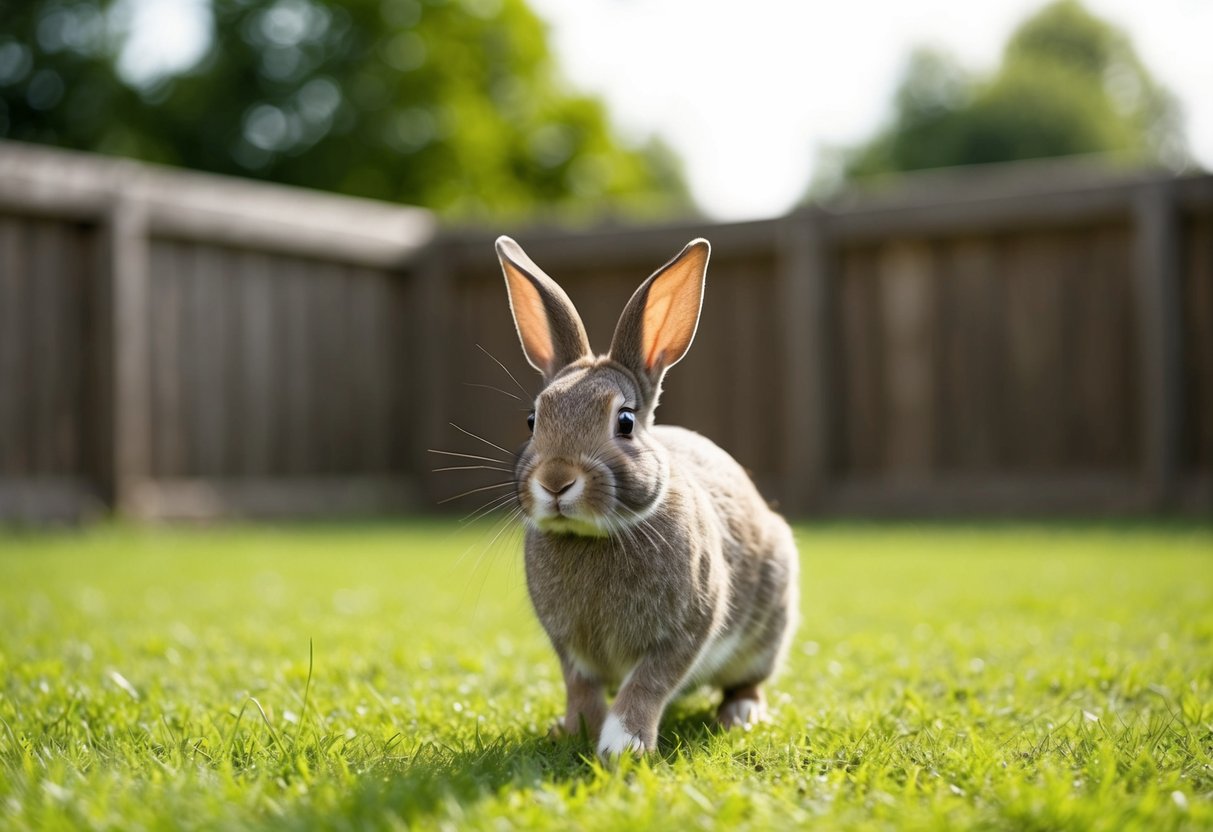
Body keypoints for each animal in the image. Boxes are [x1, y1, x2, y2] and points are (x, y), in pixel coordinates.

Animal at [494, 235, 800, 758]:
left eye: (625, 422)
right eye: (532, 420)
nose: (555, 481)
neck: (593, 536)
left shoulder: (685, 632)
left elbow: (650, 683)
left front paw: (623, 745)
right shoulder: (569, 650)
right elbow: (580, 687)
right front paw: (575, 730)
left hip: (768, 625)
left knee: (748, 681)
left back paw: (741, 714)